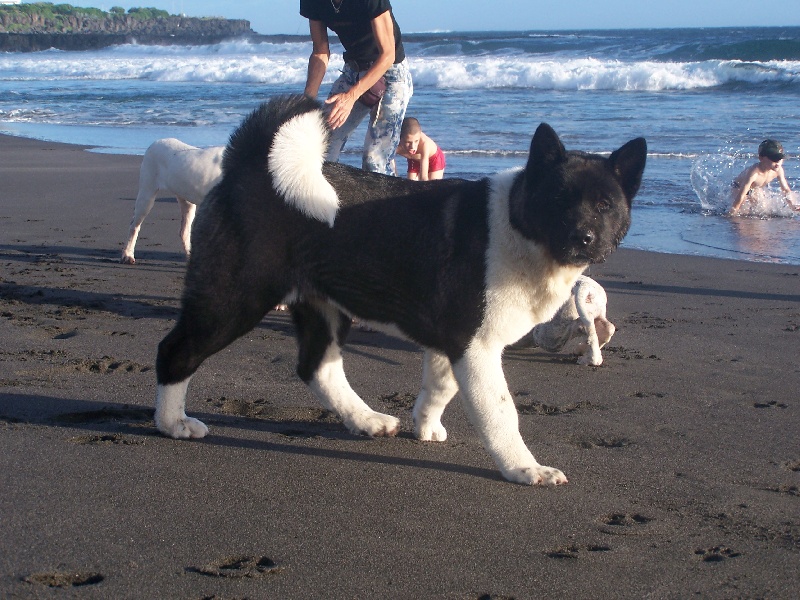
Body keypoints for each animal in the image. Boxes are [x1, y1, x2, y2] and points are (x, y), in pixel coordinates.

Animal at [153, 96, 648, 486]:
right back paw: (172, 422)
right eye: (559, 200)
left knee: (318, 368)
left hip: (324, 306)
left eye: (605, 205)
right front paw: (525, 468)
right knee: (177, 350)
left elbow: (440, 386)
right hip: (234, 299)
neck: (517, 226)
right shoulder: (477, 346)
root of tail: (248, 165)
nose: (584, 237)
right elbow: (500, 412)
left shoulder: (455, 343)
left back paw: (366, 420)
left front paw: (425, 426)